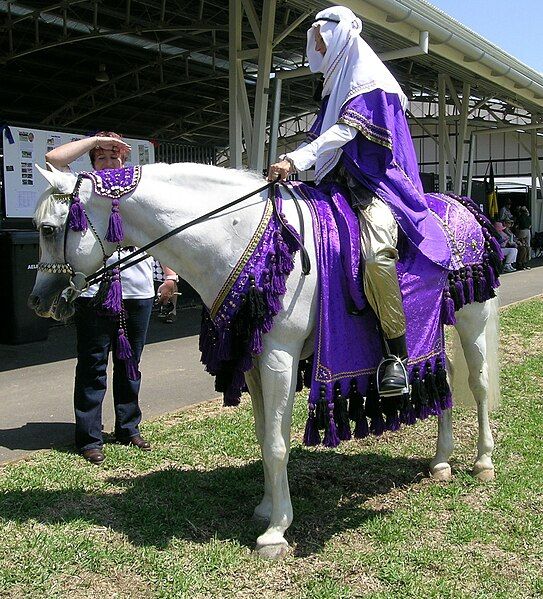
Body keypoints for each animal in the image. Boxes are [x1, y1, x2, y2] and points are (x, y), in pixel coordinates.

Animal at [28, 162, 498, 560]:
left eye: (49, 229)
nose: (39, 302)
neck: (241, 237)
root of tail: (462, 206)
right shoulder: (253, 360)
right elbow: (263, 436)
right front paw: (267, 507)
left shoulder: (278, 356)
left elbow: (276, 443)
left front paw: (276, 532)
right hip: (434, 327)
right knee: (444, 378)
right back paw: (440, 461)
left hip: (472, 317)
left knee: (478, 384)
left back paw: (482, 462)